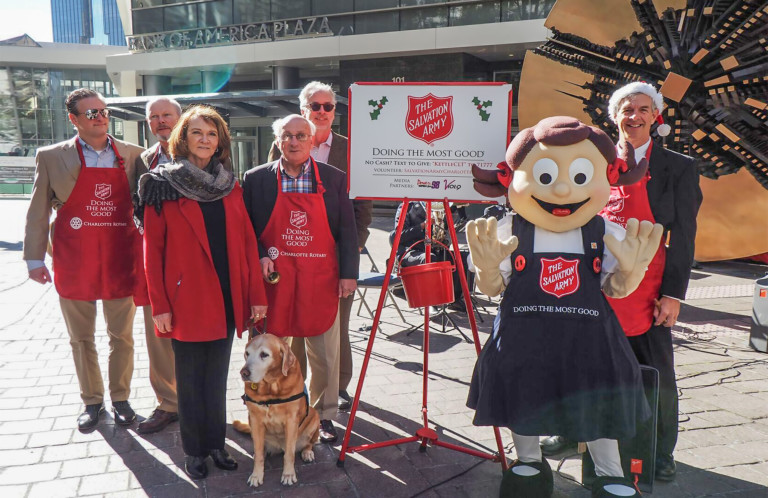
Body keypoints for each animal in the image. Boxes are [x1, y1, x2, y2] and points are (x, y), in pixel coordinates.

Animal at [232, 334, 320, 486]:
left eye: (264, 354)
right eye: (247, 353)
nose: (244, 373)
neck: (271, 387)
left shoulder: (291, 421)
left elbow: (289, 454)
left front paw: (288, 474)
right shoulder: (255, 419)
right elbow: (259, 454)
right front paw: (256, 475)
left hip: (315, 415)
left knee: (309, 443)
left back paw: (307, 452)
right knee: (260, 449)